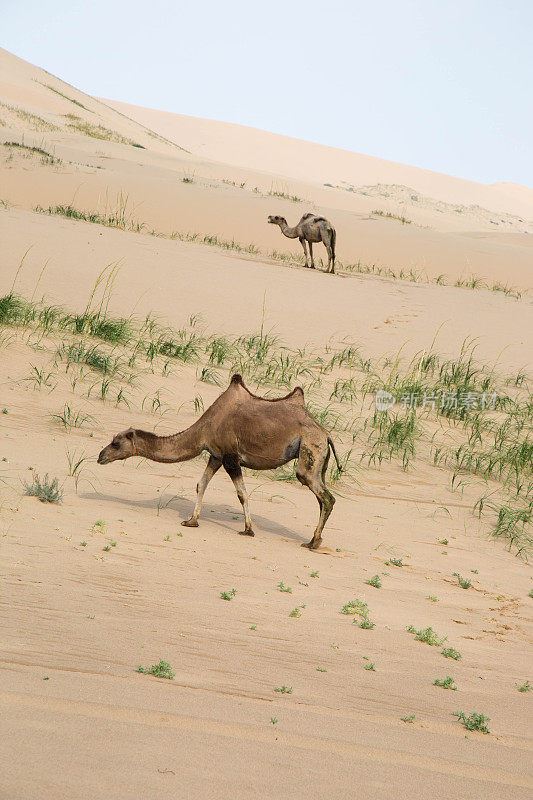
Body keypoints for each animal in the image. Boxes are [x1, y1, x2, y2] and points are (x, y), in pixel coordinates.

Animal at [98, 374, 340, 552]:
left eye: (116, 443)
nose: (100, 456)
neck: (204, 429)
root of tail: (326, 435)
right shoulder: (216, 455)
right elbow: (201, 484)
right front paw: (191, 521)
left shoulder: (230, 457)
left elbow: (242, 493)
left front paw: (248, 530)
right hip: (319, 459)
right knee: (321, 497)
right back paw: (315, 539)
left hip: (310, 448)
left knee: (324, 496)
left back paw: (312, 542)